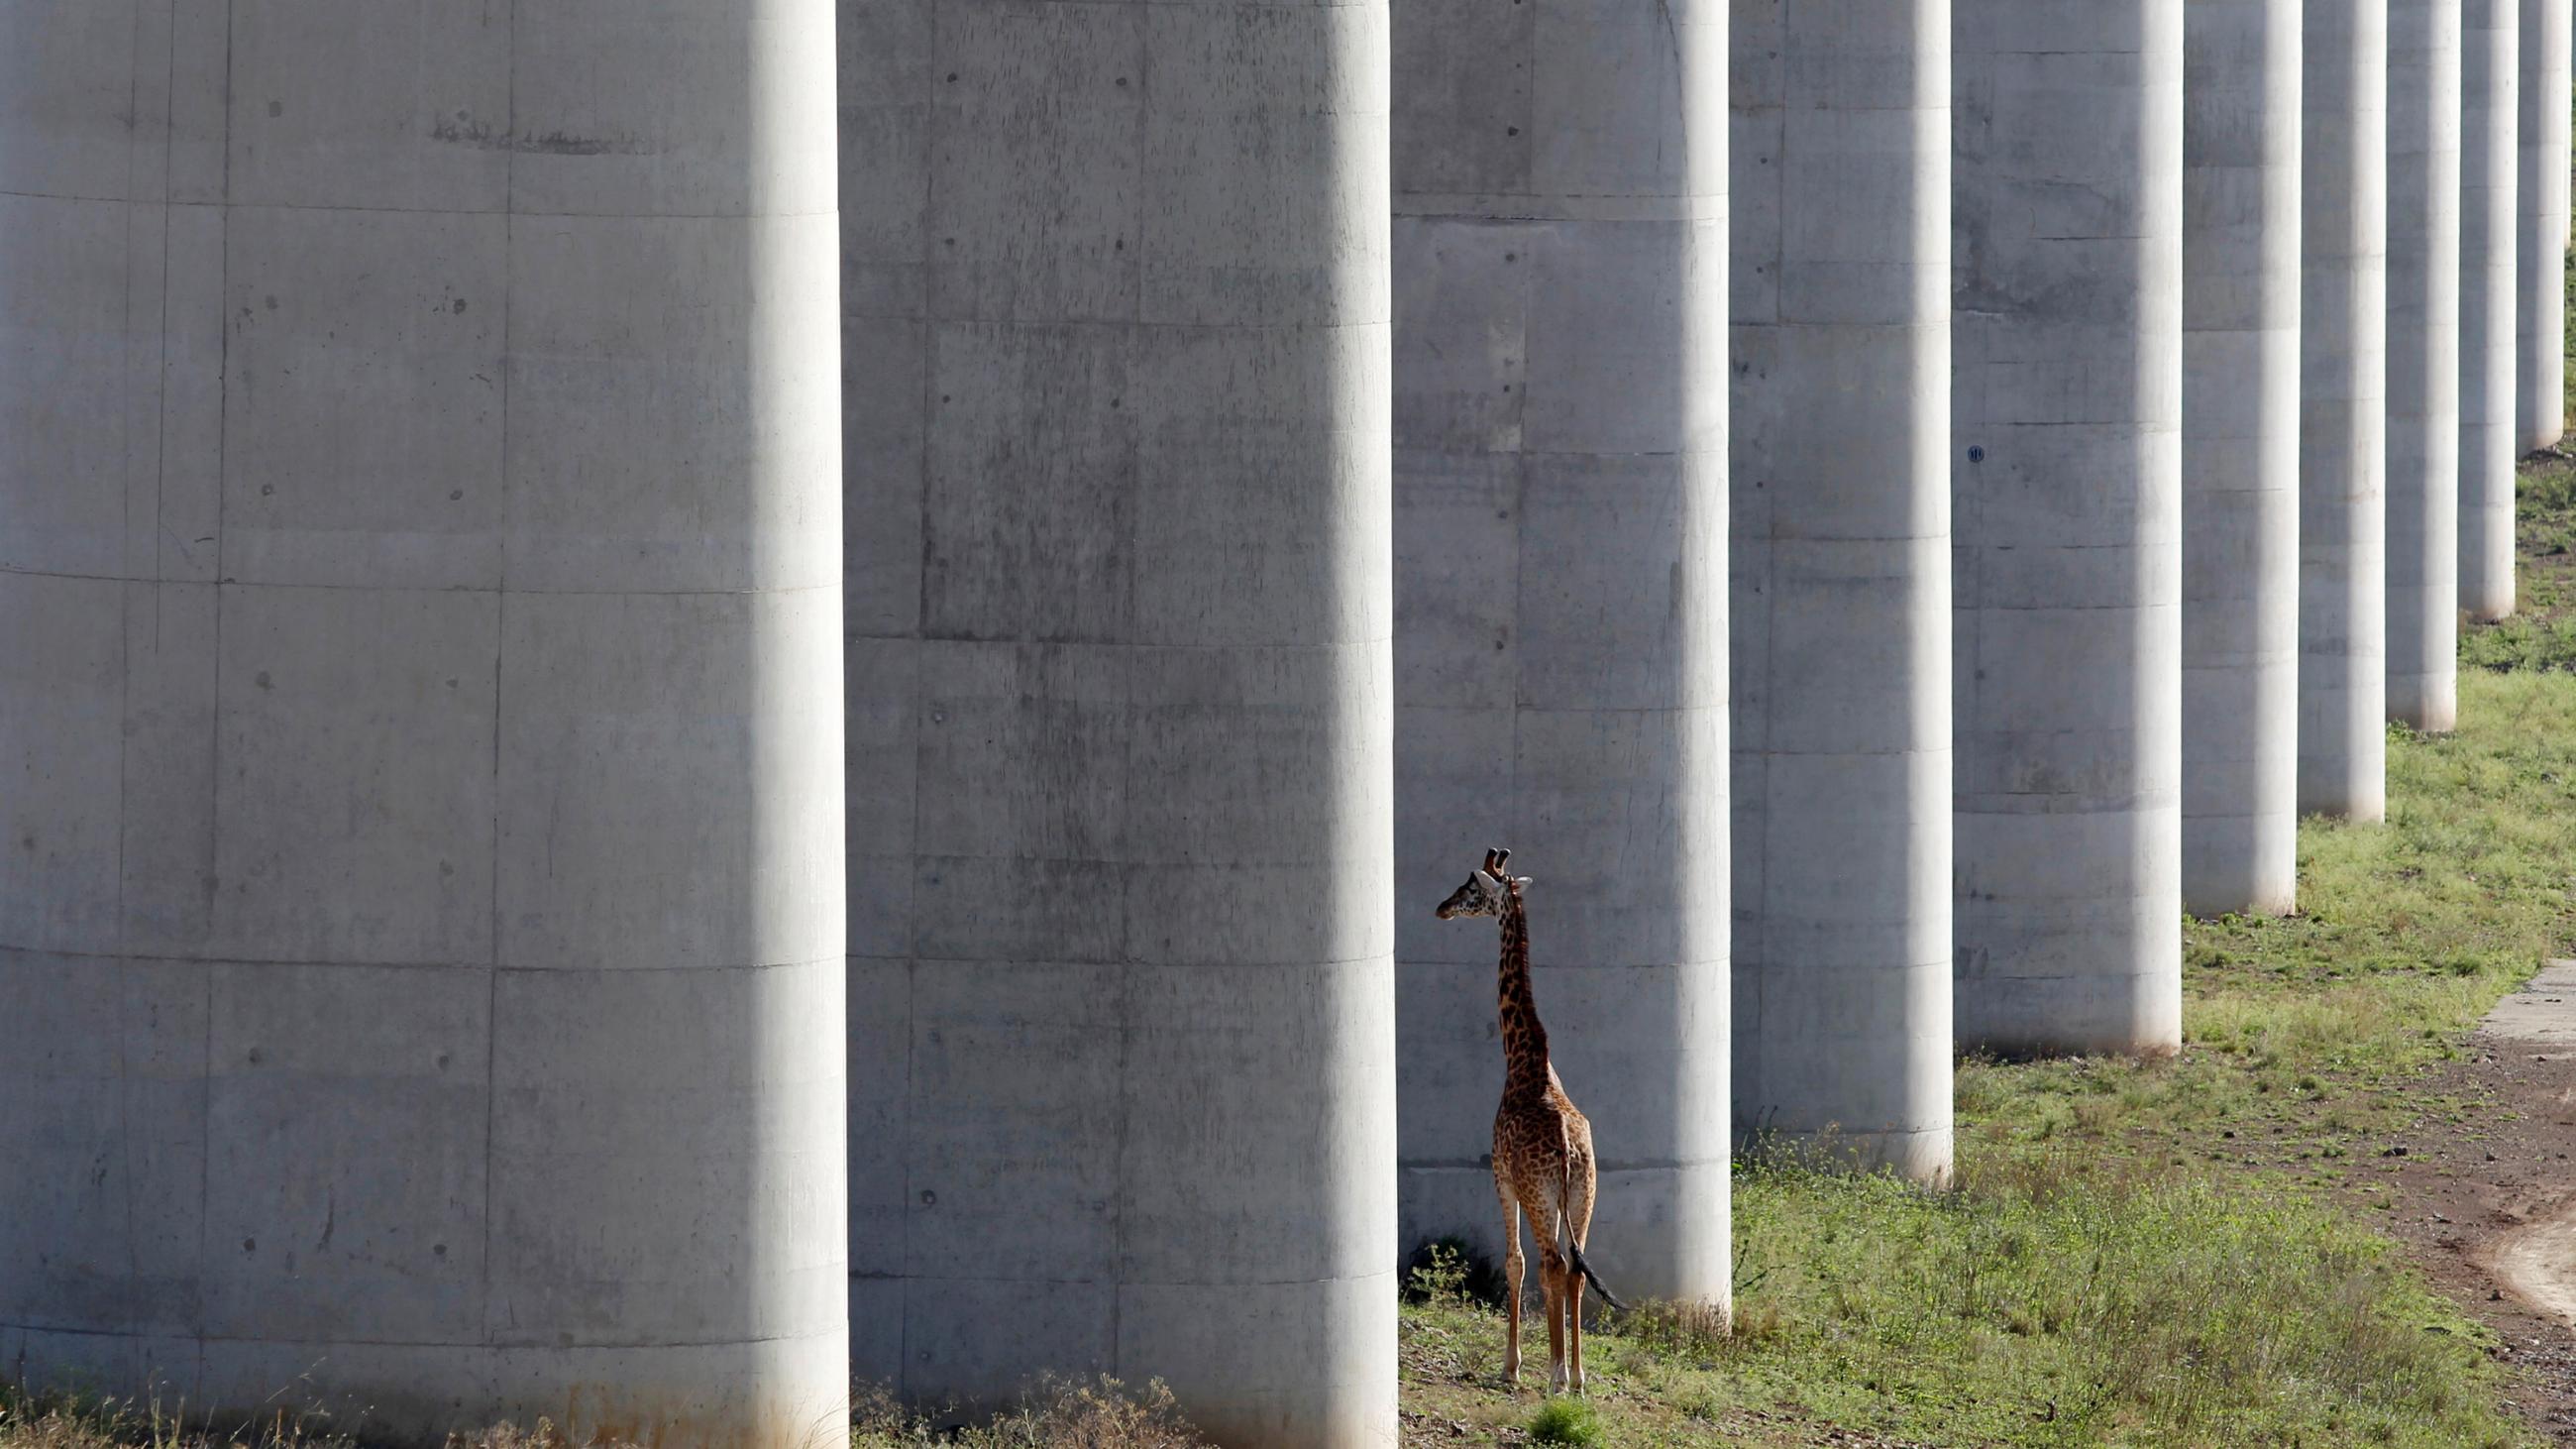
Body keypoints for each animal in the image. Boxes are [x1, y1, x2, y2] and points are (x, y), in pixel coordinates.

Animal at [1432, 845, 1628, 1392]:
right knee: (1576, 1269)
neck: (1526, 1058)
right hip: (1584, 1194)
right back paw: (1577, 1377)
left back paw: (1557, 1376)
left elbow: (1514, 1262)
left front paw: (1512, 1365)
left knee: (1551, 1262)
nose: (1441, 908)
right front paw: (1554, 1369)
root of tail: (1567, 1149)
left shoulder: (1499, 1174)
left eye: (1470, 889)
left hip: (1541, 1196)